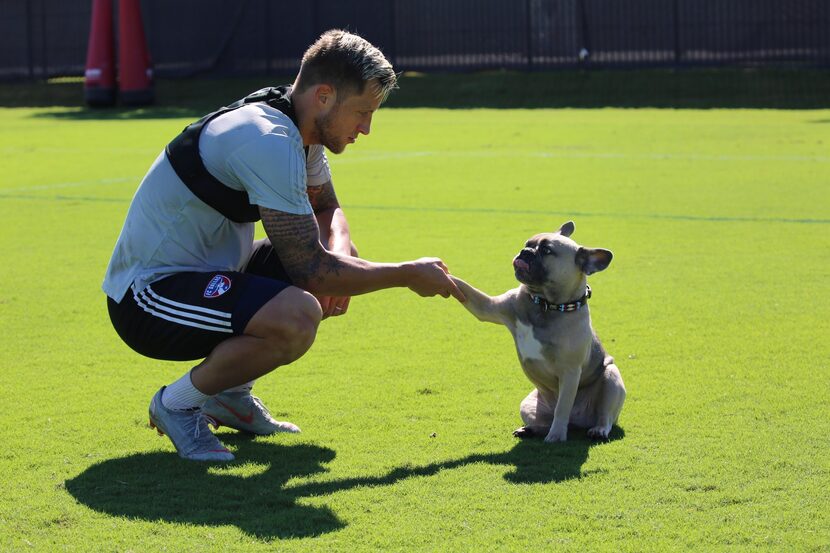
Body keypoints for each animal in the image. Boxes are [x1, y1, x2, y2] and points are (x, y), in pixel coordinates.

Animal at [456, 222, 624, 442]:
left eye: (546, 251)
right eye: (527, 243)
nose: (525, 252)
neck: (545, 303)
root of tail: (578, 422)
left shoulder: (570, 372)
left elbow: (562, 407)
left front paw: (556, 437)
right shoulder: (488, 306)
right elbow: (463, 287)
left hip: (612, 379)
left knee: (601, 416)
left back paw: (597, 429)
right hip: (527, 405)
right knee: (547, 421)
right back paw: (531, 429)